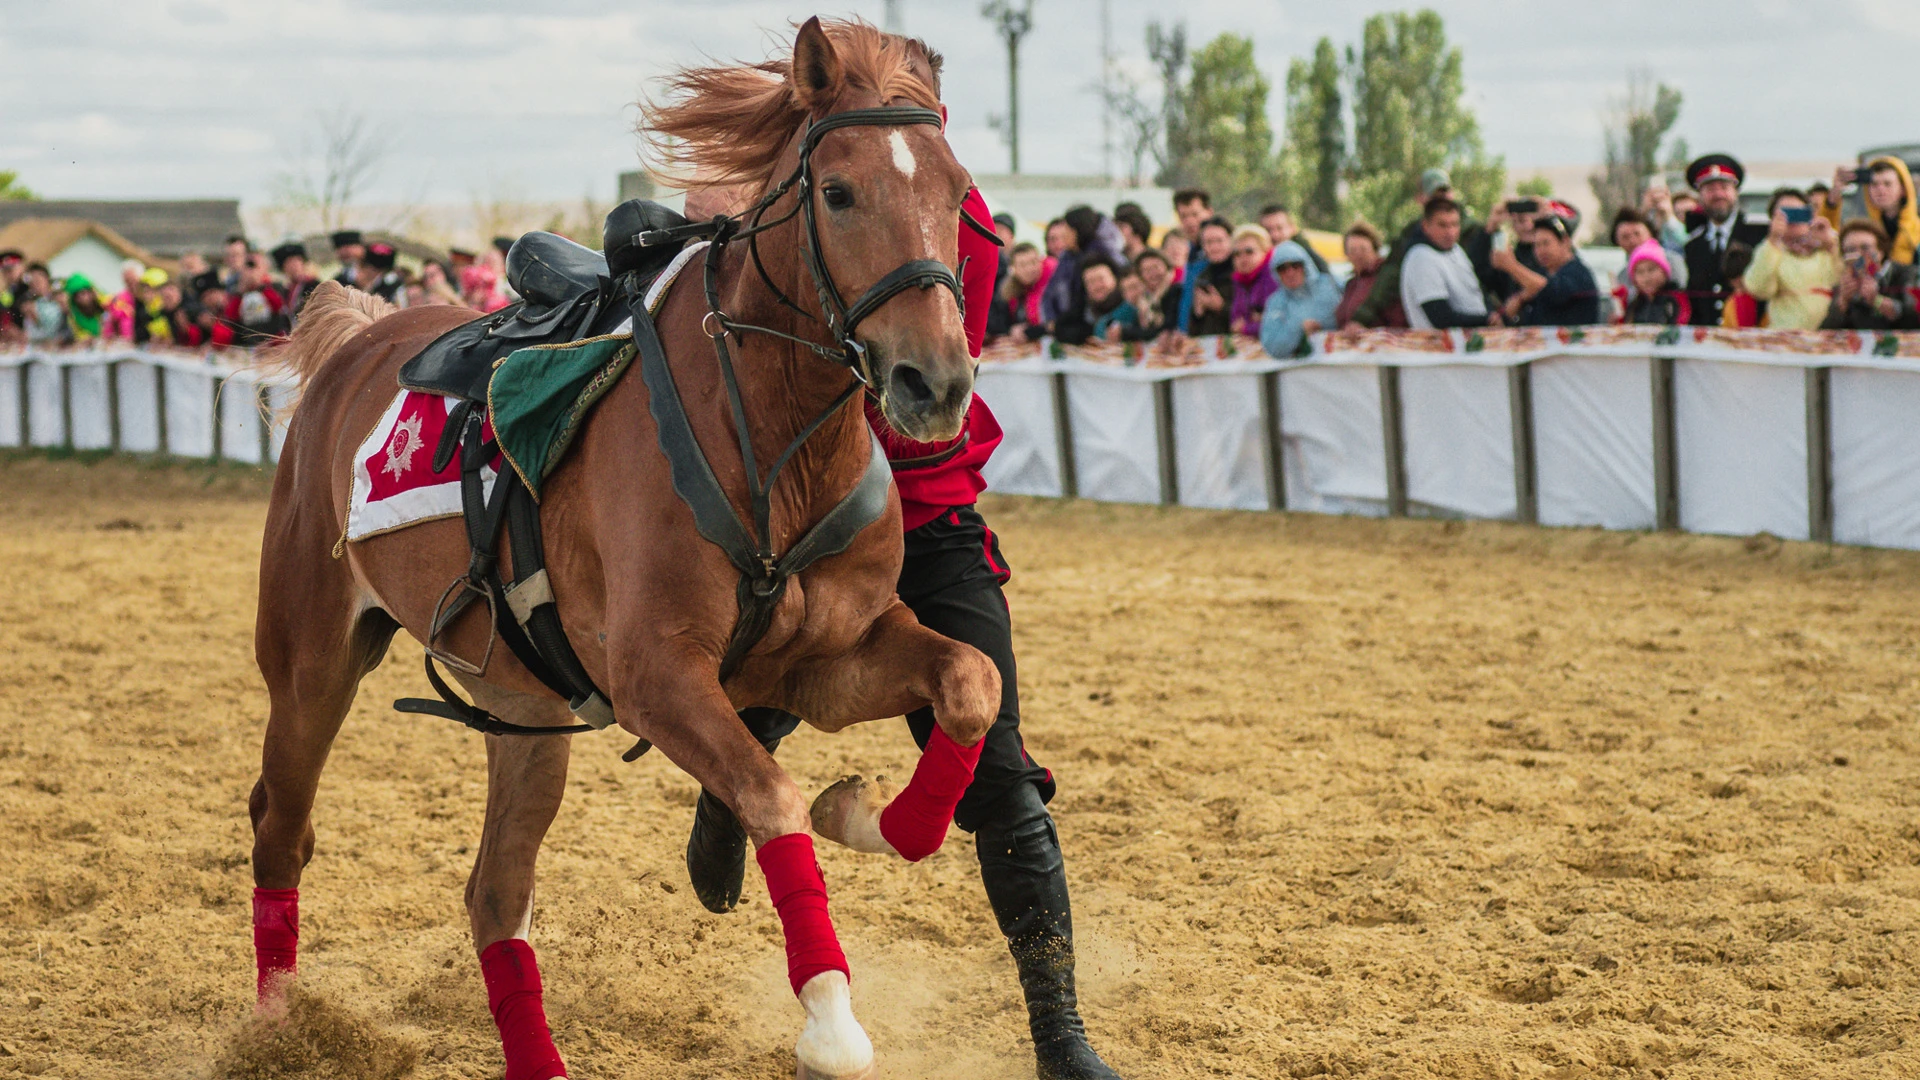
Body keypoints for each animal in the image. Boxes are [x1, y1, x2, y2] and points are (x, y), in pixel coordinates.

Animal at [251, 18, 990, 1076]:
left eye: (957, 191)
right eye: (840, 192)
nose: (935, 382)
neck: (768, 442)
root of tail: (357, 340)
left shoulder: (825, 661)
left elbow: (970, 682)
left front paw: (876, 819)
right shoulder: (659, 677)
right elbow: (772, 797)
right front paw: (830, 1018)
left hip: (520, 710)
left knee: (494, 894)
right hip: (311, 663)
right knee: (282, 827)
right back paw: (273, 1025)